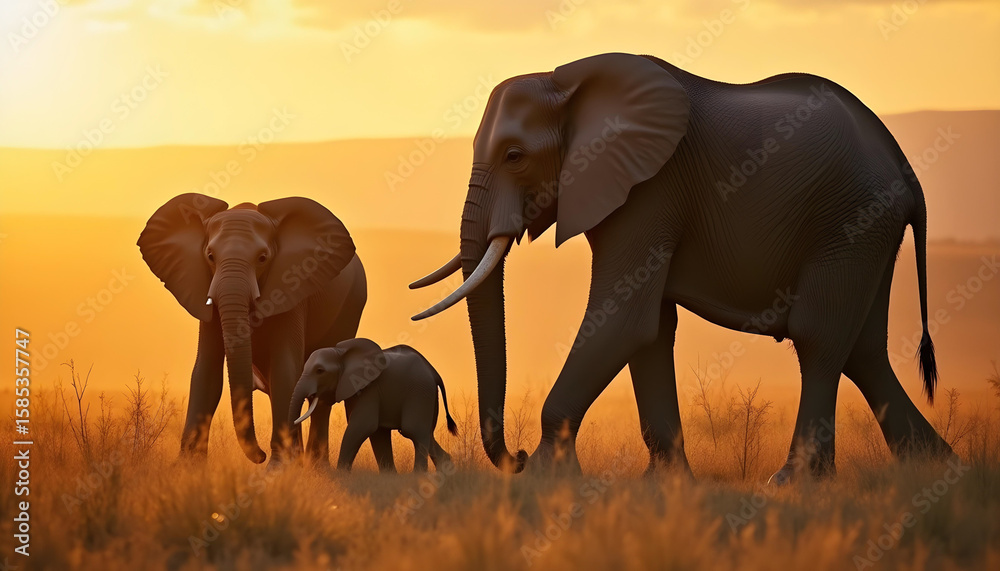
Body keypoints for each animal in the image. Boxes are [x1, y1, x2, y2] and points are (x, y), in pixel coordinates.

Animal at [138, 193, 397, 468]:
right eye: (209, 256)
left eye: (263, 258)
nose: (259, 456)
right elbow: (206, 371)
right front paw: (188, 468)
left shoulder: (293, 286)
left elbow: (285, 369)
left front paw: (278, 468)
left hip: (351, 307)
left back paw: (315, 467)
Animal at [290, 339, 458, 471]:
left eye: (320, 371)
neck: (341, 354)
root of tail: (433, 372)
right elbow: (377, 431)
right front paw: (389, 476)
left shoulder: (370, 388)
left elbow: (363, 425)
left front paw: (341, 474)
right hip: (428, 396)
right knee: (426, 433)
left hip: (420, 392)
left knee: (413, 430)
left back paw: (419, 475)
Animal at [410, 52, 952, 482]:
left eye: (515, 156)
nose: (516, 456)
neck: (567, 82)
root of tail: (906, 170)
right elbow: (650, 330)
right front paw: (665, 484)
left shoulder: (651, 191)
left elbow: (623, 319)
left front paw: (546, 478)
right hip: (867, 231)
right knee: (863, 350)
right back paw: (937, 467)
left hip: (850, 221)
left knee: (818, 336)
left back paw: (794, 483)